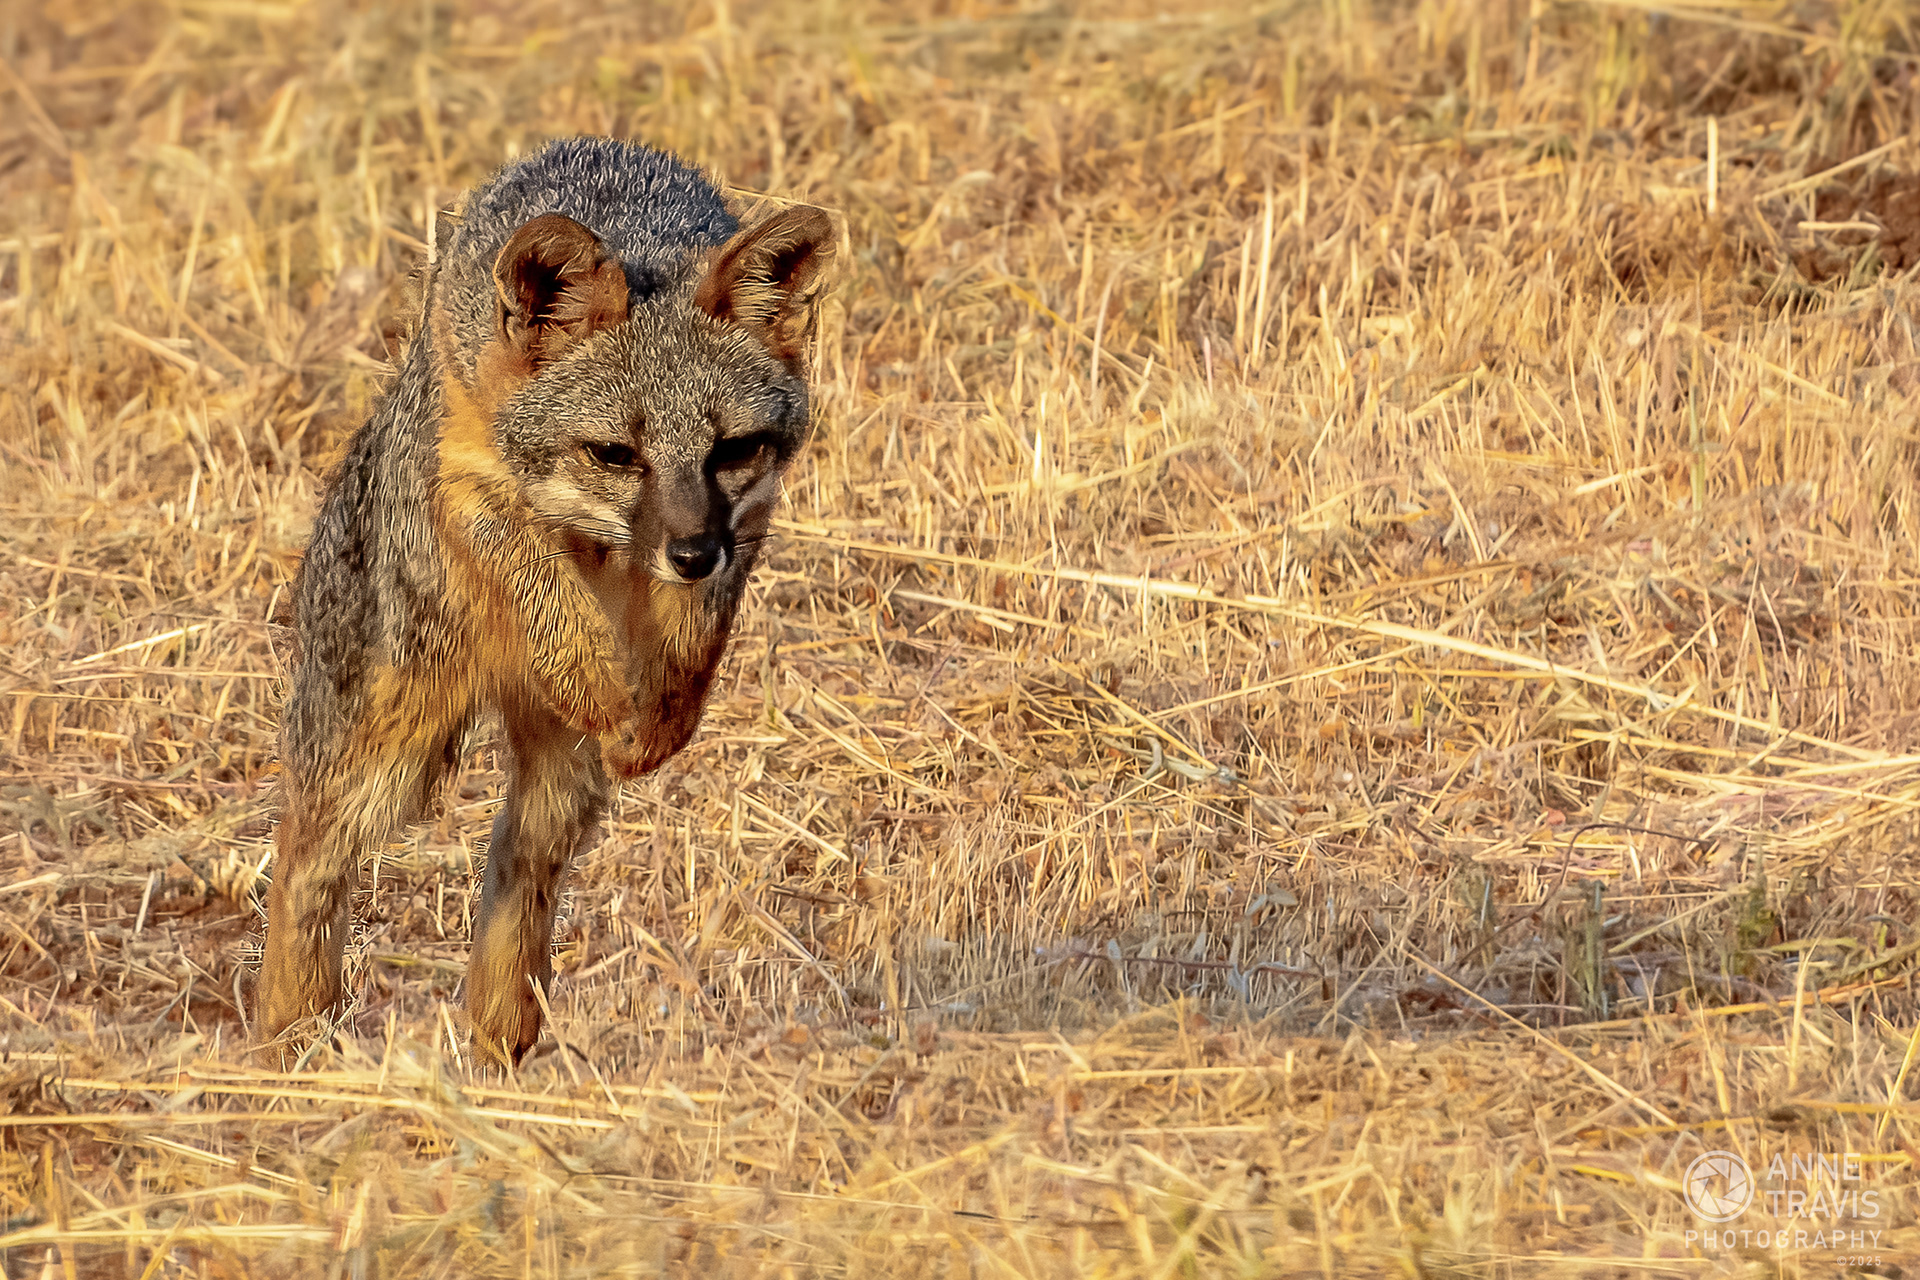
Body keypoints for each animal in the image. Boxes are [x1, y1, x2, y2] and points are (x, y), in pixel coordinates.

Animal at [256, 137, 837, 1066]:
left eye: (733, 450)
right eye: (616, 454)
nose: (690, 553)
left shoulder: (746, 524)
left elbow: (697, 638)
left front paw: (661, 721)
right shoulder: (470, 482)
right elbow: (538, 581)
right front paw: (597, 679)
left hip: (556, 790)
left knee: (515, 874)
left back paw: (500, 1044)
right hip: (382, 758)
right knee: (302, 856)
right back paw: (290, 1039)